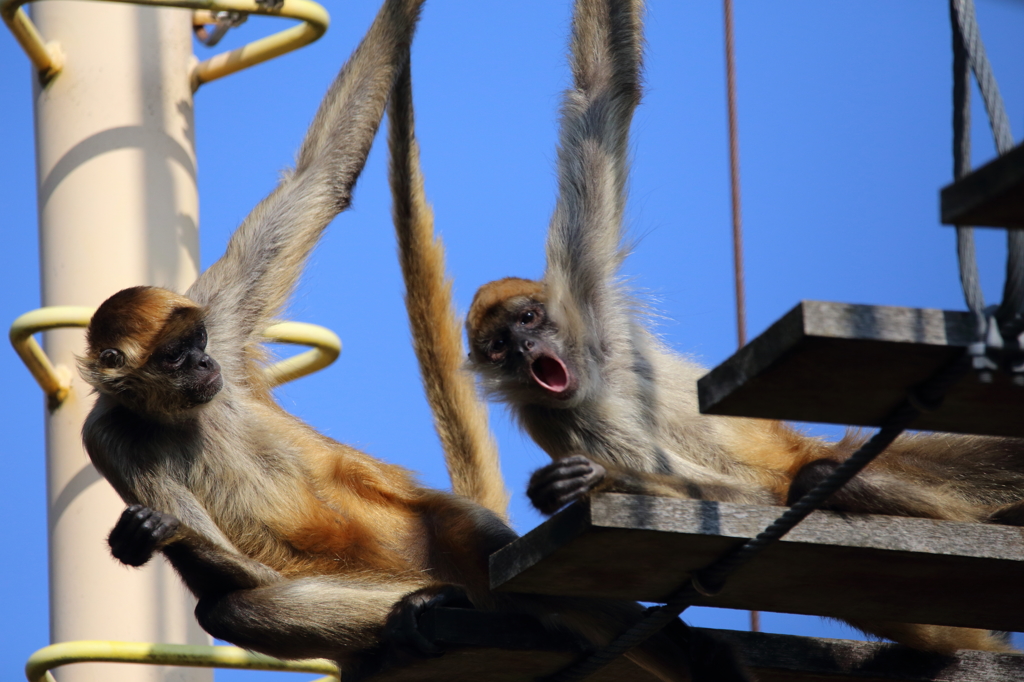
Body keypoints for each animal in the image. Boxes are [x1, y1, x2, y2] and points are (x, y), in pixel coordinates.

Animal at [81, 2, 720, 675]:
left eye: (198, 344)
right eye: (177, 357)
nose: (204, 366)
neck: (181, 411)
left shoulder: (219, 314)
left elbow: (321, 176)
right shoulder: (108, 436)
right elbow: (227, 579)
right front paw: (136, 540)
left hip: (427, 530)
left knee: (468, 531)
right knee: (233, 607)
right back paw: (423, 610)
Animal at [464, 0, 1024, 655]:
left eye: (528, 320)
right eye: (500, 349)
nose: (527, 348)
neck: (593, 367)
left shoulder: (581, 289)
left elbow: (602, 89)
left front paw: (598, 481)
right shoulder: (549, 413)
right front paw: (578, 486)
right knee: (816, 482)